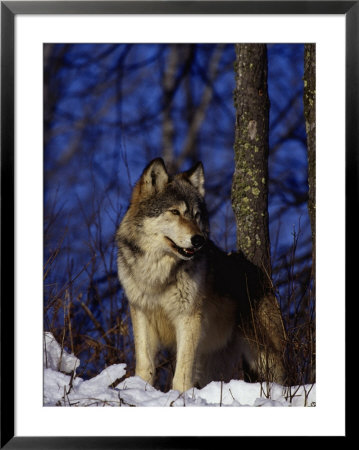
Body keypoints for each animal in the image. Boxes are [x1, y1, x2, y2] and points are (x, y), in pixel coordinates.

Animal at [117, 160, 286, 392]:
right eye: (175, 212)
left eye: (196, 215)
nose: (198, 240)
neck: (159, 274)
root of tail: (264, 277)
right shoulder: (141, 313)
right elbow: (145, 366)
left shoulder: (189, 317)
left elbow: (181, 374)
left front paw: (179, 395)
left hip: (265, 354)